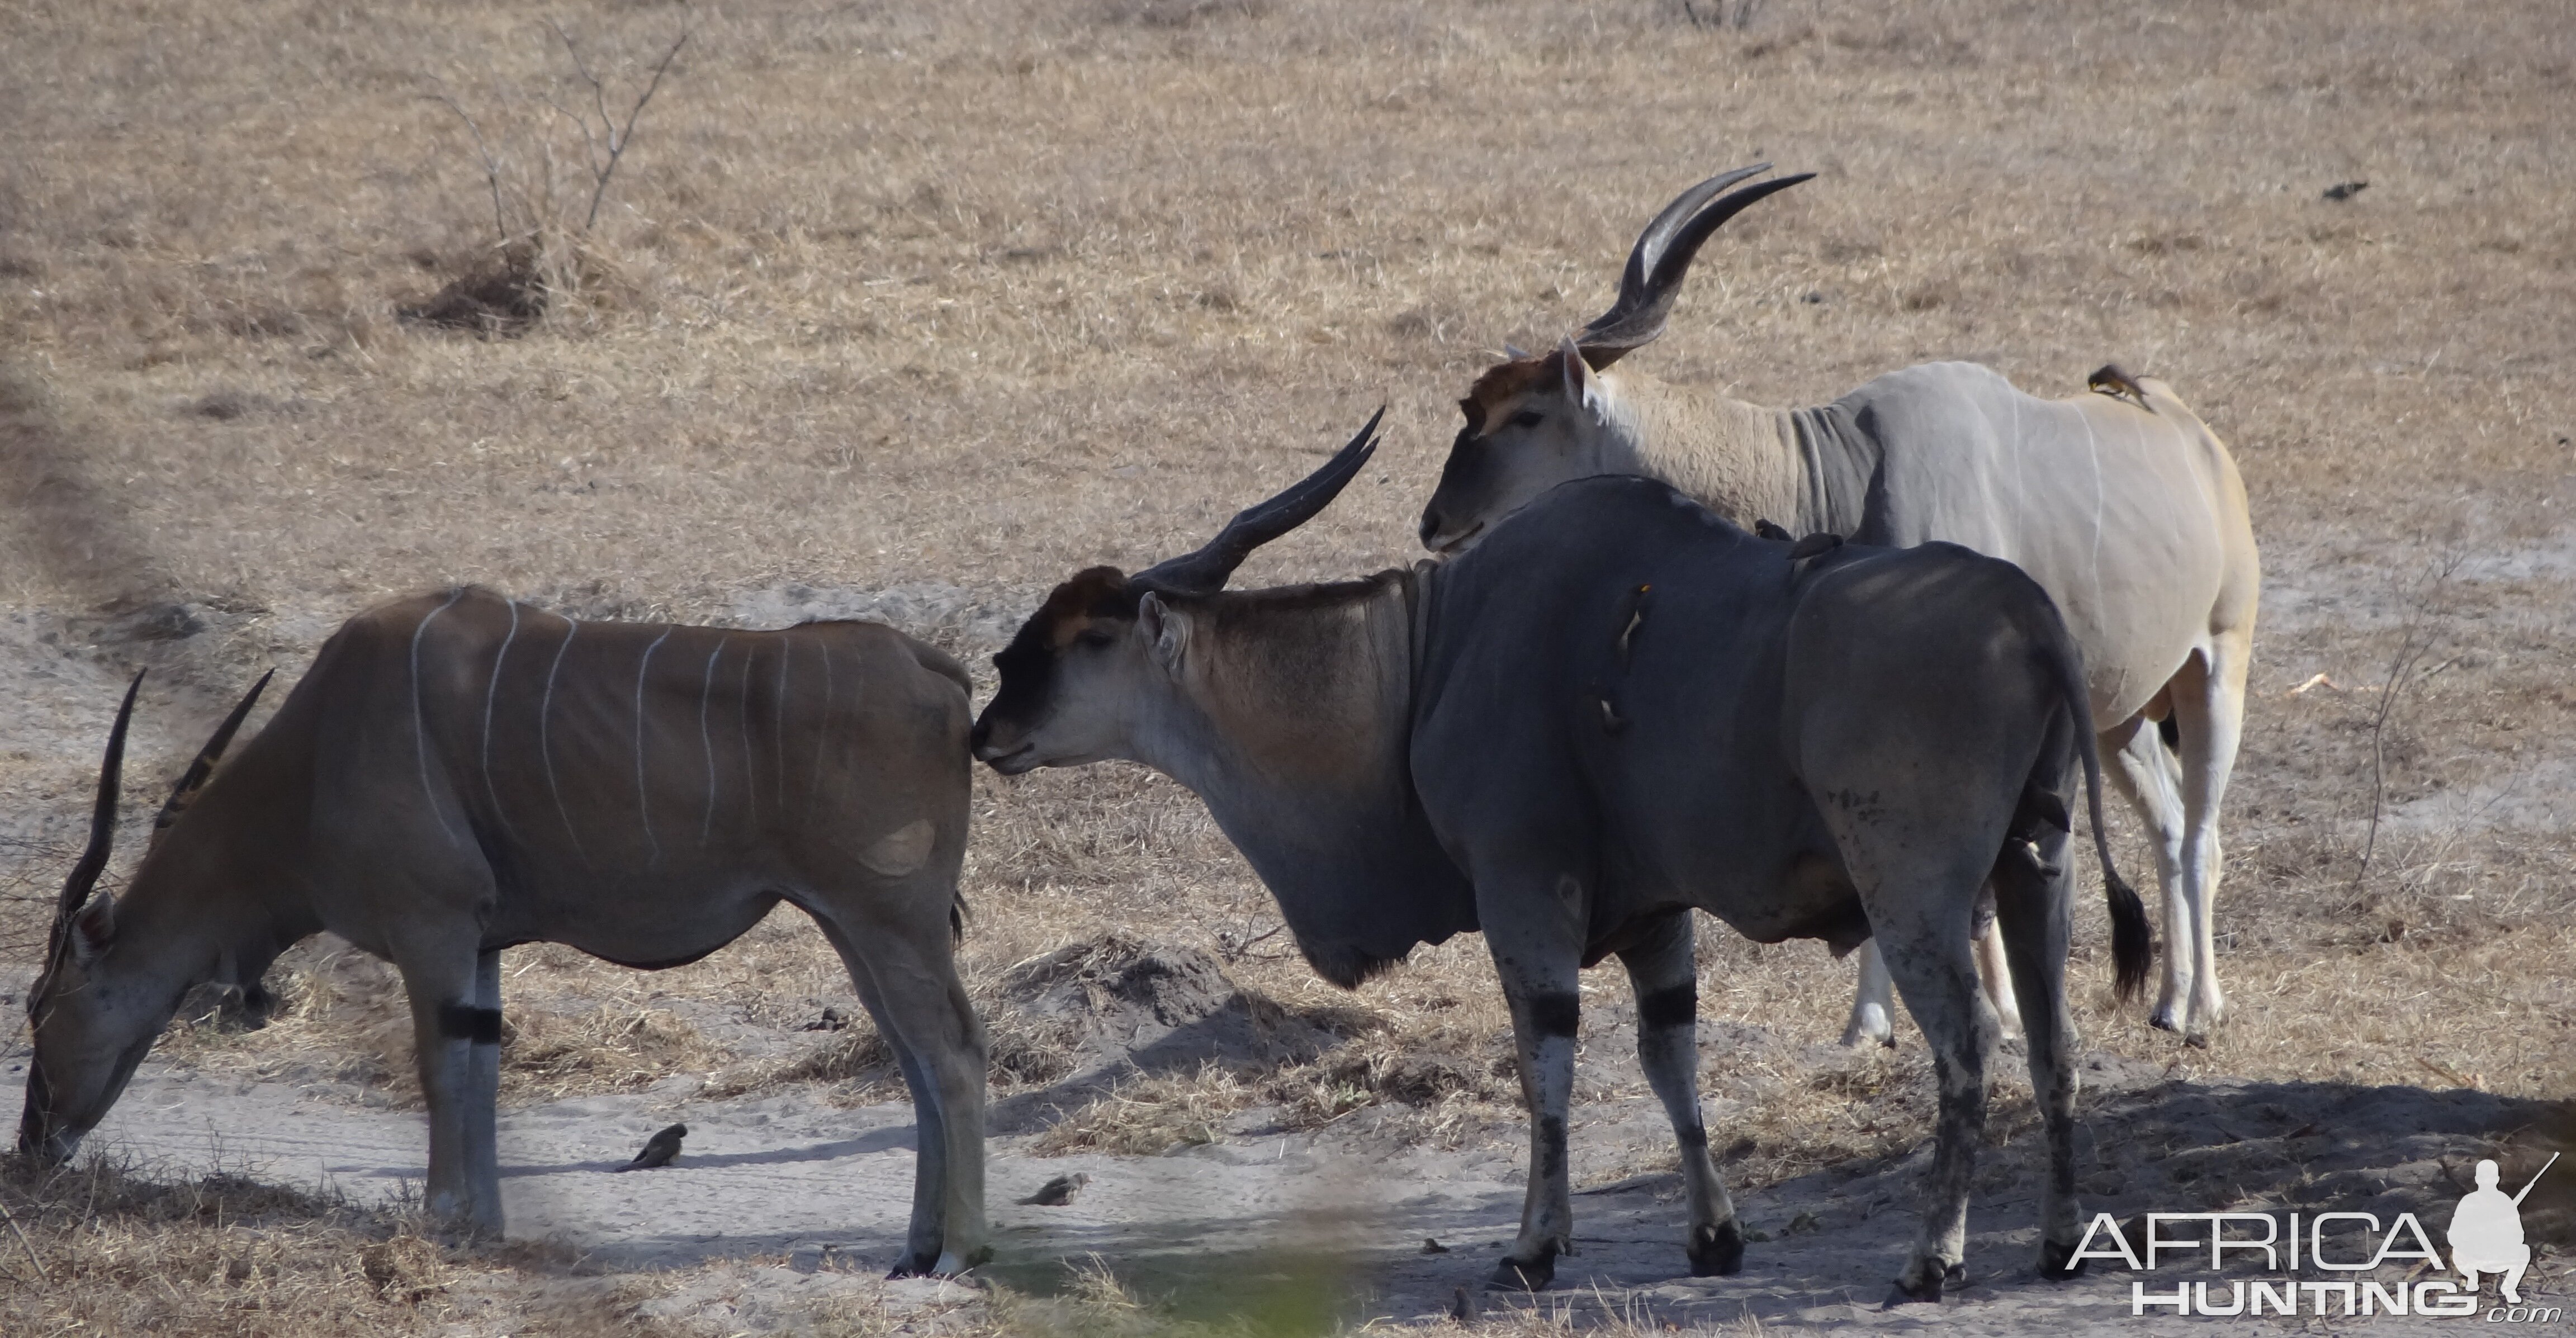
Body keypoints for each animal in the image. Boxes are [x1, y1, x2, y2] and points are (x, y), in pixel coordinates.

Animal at [17, 594, 984, 1276]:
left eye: (41, 1005)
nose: (31, 1146)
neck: (320, 749)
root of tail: (933, 669)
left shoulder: (432, 925)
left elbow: (441, 1072)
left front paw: (446, 1220)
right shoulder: (477, 944)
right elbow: (479, 1071)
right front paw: (483, 1225)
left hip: (884, 919)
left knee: (953, 1055)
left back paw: (960, 1254)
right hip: (854, 926)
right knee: (920, 1063)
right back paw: (913, 1250)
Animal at [973, 414, 2143, 1297]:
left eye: (1089, 637)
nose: (988, 726)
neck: (1426, 649)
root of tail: (2025, 615)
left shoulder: (1523, 885)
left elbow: (1546, 1056)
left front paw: (1534, 1246)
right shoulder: (1655, 914)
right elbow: (1669, 1058)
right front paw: (1713, 1237)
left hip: (1913, 891)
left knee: (1970, 1040)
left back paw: (1929, 1258)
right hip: (2036, 871)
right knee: (2055, 1041)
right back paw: (2056, 1241)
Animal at [1422, 167, 2267, 1045]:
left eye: (1527, 415)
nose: (1435, 522)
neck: (1843, 467)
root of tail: (2191, 434)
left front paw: (1989, 1017)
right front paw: (1872, 1024)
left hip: (2216, 669)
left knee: (2202, 835)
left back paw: (2201, 1008)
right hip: (2116, 719)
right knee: (2167, 823)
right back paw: (2169, 999)